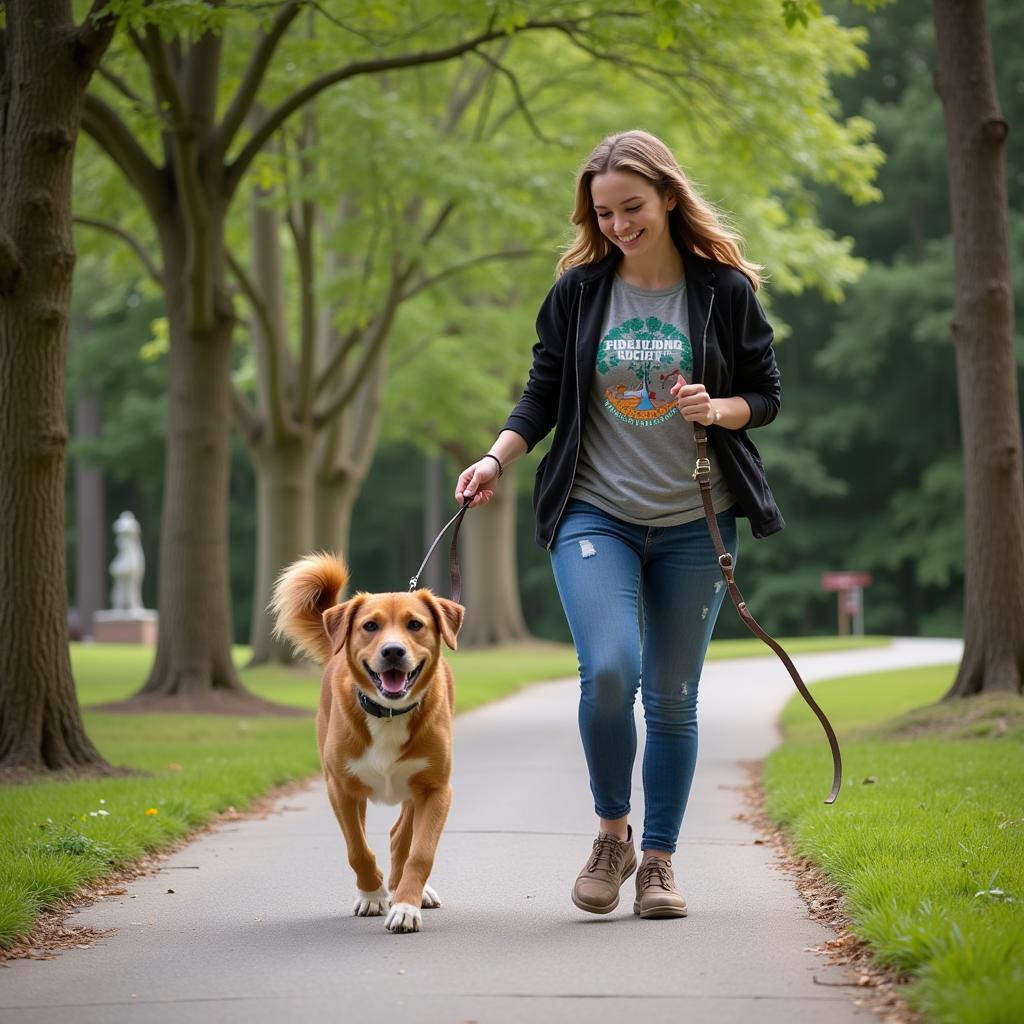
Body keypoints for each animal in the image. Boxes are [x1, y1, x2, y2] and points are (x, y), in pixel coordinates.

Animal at [272, 557, 464, 933]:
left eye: (415, 624)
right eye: (370, 626)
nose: (393, 651)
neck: (388, 713)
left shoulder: (436, 789)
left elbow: (420, 852)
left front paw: (405, 906)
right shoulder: (341, 788)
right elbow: (357, 850)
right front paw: (373, 895)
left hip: (414, 790)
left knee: (401, 837)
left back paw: (412, 890)